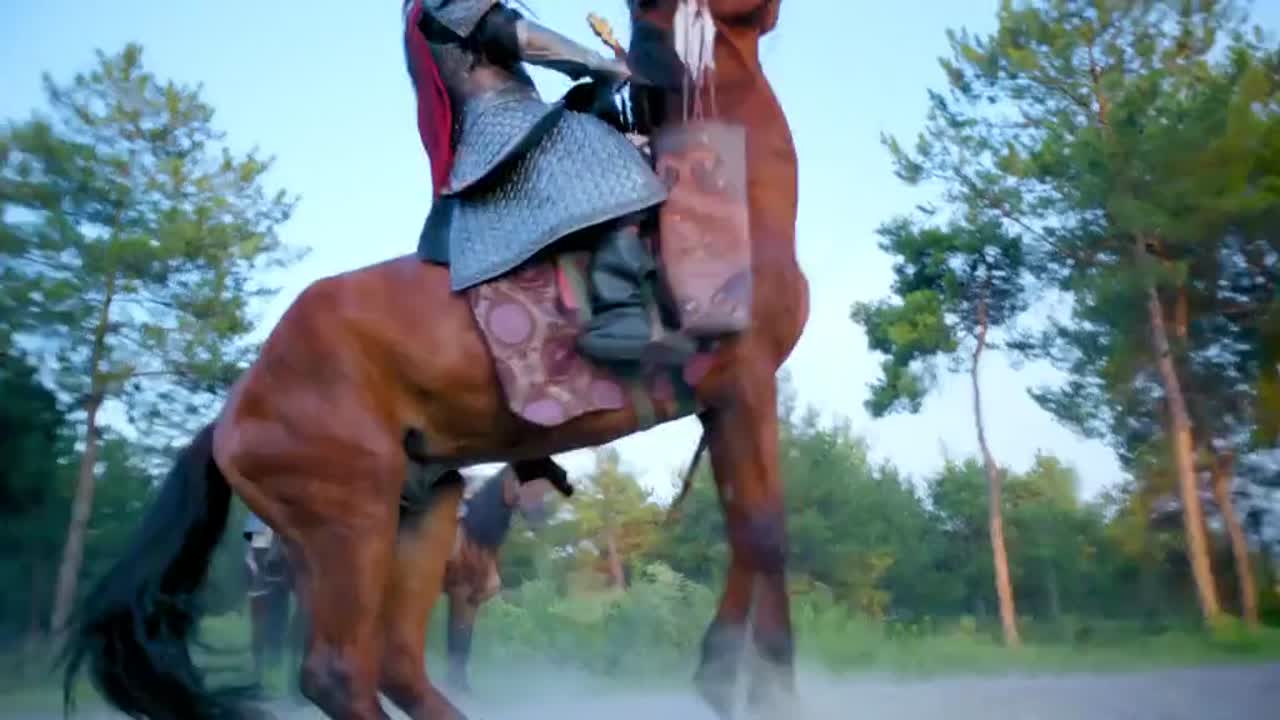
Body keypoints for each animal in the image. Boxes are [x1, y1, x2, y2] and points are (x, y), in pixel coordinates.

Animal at [62, 2, 803, 719]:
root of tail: (232, 414)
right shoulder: (744, 382)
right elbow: (765, 531)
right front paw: (746, 682)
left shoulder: (725, 399)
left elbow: (752, 531)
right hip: (346, 521)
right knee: (337, 672)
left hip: (417, 511)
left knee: (395, 661)